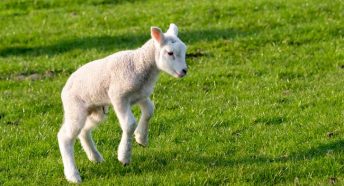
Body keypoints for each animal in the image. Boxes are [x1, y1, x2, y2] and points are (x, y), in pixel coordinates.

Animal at [57, 23, 187, 183]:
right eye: (170, 53)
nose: (184, 71)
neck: (140, 63)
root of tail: (65, 87)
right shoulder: (118, 96)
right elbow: (129, 124)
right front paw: (124, 156)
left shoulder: (140, 95)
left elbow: (150, 110)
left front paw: (141, 138)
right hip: (75, 108)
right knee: (65, 137)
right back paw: (73, 175)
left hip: (96, 110)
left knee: (84, 131)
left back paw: (96, 158)